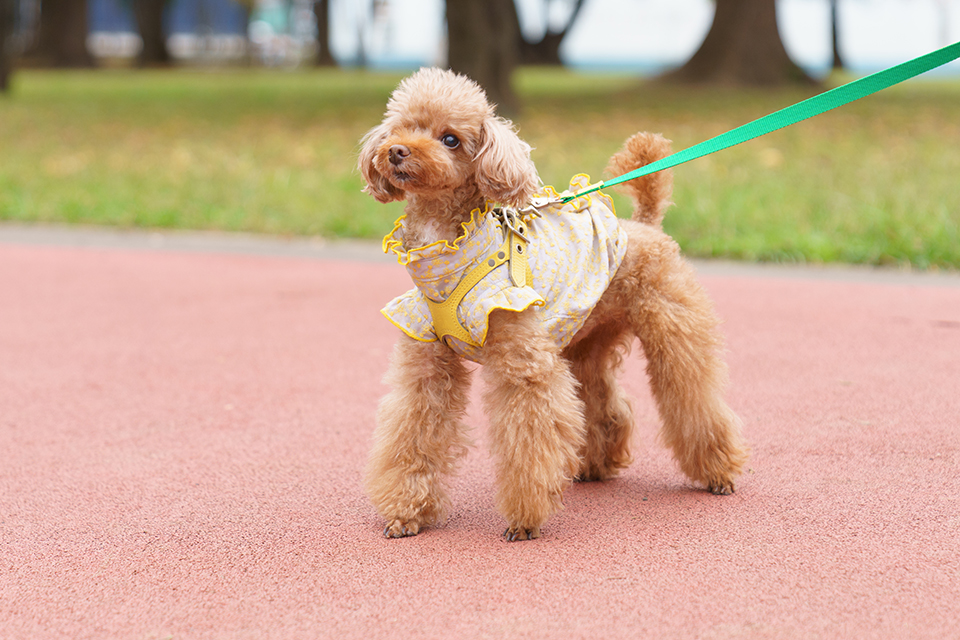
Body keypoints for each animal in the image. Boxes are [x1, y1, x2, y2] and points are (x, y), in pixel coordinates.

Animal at [356, 69, 748, 540]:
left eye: (451, 139)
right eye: (401, 127)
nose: (396, 151)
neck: (452, 249)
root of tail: (645, 224)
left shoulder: (524, 364)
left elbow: (529, 431)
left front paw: (524, 520)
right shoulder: (427, 364)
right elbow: (413, 429)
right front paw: (406, 512)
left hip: (674, 329)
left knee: (693, 395)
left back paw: (717, 473)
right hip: (587, 341)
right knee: (604, 403)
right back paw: (597, 463)